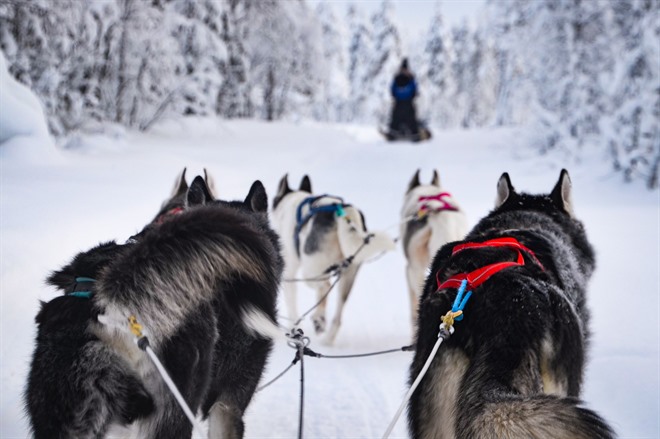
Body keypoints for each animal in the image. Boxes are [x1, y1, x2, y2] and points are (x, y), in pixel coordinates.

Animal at [270, 174, 394, 346]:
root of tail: (341, 211)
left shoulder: (289, 273)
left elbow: (292, 305)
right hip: (348, 275)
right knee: (338, 315)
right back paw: (328, 338)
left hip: (310, 270)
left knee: (324, 287)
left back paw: (319, 319)